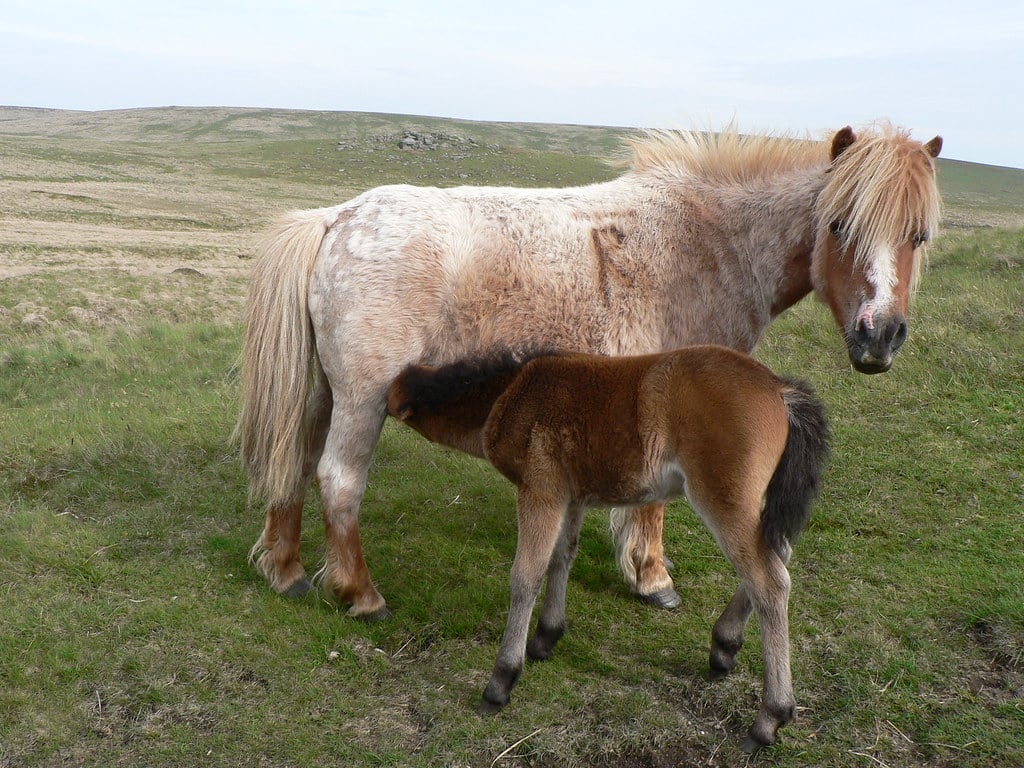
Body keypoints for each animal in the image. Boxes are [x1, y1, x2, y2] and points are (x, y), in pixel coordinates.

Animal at [236, 122, 941, 618]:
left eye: (918, 235)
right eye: (839, 224)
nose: (879, 337)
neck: (711, 244)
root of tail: (336, 220)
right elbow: (656, 502)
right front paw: (653, 577)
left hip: (324, 395)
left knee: (294, 459)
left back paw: (286, 571)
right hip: (362, 400)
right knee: (338, 481)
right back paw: (361, 594)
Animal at [386, 345, 831, 751]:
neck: (509, 392)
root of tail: (779, 388)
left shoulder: (540, 492)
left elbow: (525, 576)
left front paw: (501, 681)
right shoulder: (571, 498)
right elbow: (561, 558)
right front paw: (546, 637)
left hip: (724, 500)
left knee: (770, 581)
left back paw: (769, 718)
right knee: (778, 556)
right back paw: (724, 646)